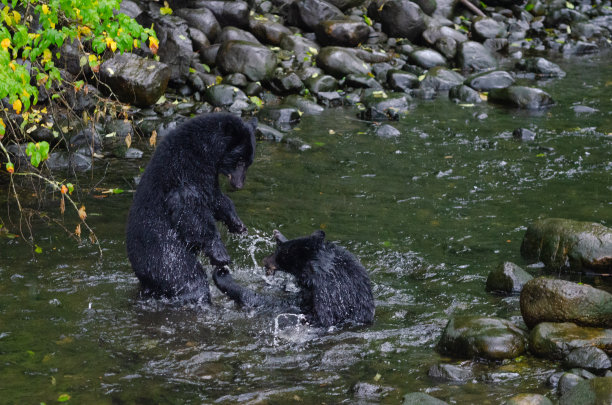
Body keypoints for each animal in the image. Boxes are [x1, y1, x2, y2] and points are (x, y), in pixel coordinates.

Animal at [126, 112, 256, 302]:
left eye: (248, 162)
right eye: (239, 160)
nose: (238, 185)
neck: (204, 149)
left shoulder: (208, 175)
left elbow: (215, 198)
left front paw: (237, 224)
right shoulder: (185, 168)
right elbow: (189, 208)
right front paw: (220, 254)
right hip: (166, 253)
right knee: (188, 277)